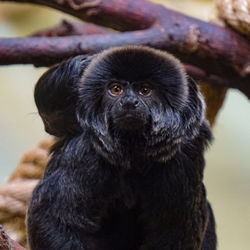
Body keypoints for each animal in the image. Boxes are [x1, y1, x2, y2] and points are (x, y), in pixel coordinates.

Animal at [26, 46, 216, 250]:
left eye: (145, 90)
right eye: (115, 89)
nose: (129, 103)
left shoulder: (182, 159)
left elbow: (175, 230)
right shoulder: (87, 152)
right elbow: (53, 218)